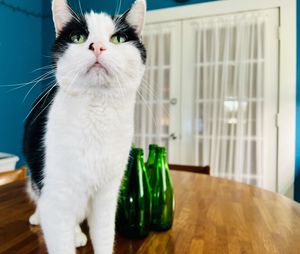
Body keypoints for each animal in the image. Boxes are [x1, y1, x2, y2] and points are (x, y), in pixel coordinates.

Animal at [22, 0, 146, 253]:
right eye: (78, 37)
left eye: (118, 38)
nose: (97, 46)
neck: (97, 114)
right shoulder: (55, 197)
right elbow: (60, 238)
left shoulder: (107, 197)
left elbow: (104, 236)